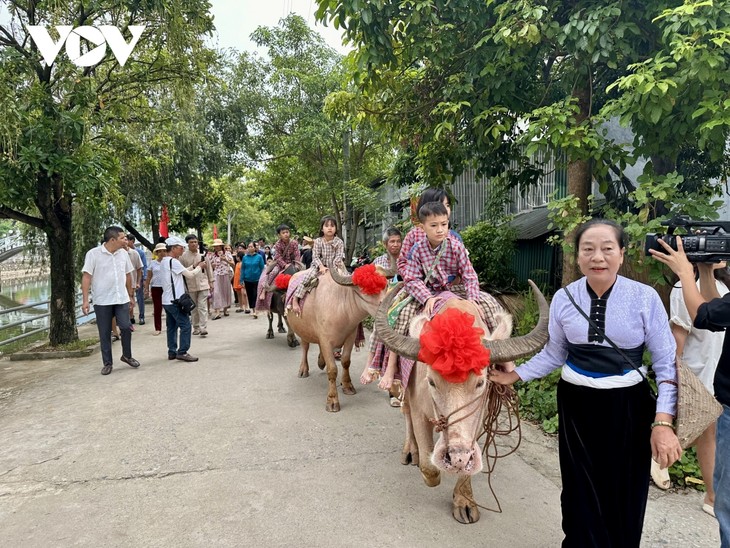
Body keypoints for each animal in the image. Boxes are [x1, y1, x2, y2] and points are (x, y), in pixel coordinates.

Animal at [288, 264, 396, 412]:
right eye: (365, 290)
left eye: (385, 286)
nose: (387, 309)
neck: (342, 308)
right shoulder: (326, 340)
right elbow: (332, 369)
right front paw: (332, 400)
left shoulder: (350, 336)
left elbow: (345, 361)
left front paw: (347, 386)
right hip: (304, 330)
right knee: (305, 347)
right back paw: (303, 369)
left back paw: (321, 361)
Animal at [370, 280, 544, 524]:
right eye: (431, 382)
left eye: (481, 383)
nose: (456, 457)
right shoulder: (419, 408)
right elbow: (429, 468)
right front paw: (429, 465)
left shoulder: (477, 420)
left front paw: (465, 501)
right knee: (406, 414)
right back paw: (410, 451)